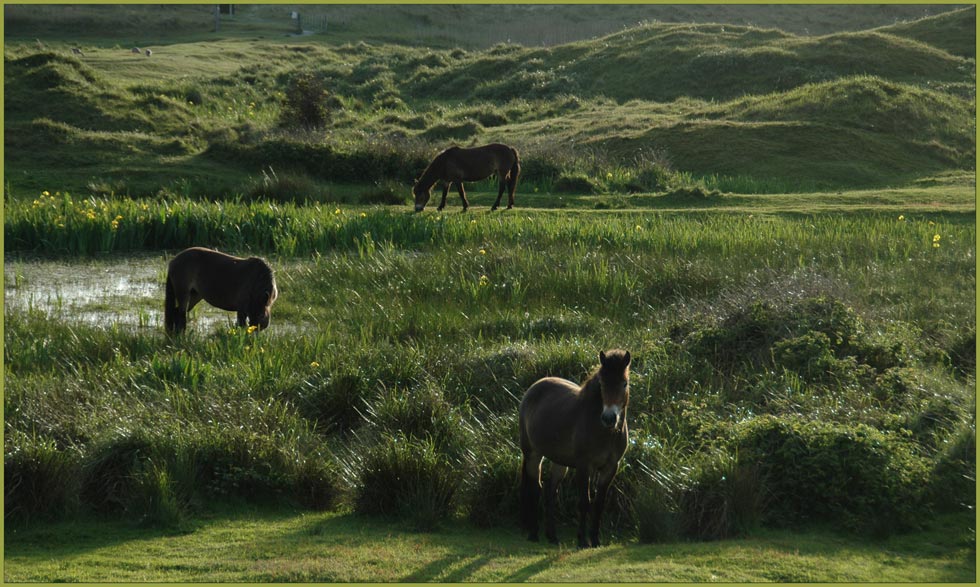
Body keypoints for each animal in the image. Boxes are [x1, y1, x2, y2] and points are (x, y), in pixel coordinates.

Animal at [516, 350, 632, 548]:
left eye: (624, 383)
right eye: (602, 383)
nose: (609, 418)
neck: (603, 431)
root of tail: (533, 388)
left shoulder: (610, 467)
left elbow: (599, 504)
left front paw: (595, 540)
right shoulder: (584, 466)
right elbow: (584, 502)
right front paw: (582, 541)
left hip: (560, 462)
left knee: (550, 491)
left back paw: (552, 537)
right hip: (533, 454)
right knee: (535, 488)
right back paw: (533, 534)